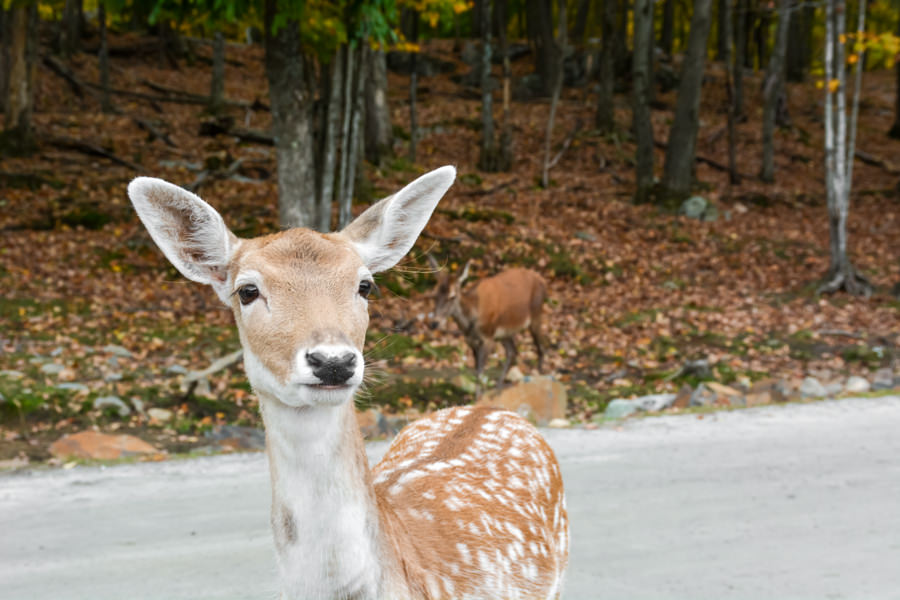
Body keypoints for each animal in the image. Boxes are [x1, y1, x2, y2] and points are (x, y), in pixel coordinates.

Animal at [428, 255, 548, 386]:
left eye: (452, 296)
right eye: (434, 295)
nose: (434, 323)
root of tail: (542, 281)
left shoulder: (488, 339)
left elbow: (480, 374)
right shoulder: (471, 341)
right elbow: (477, 373)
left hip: (536, 314)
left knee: (541, 348)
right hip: (504, 331)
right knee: (512, 351)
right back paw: (498, 386)